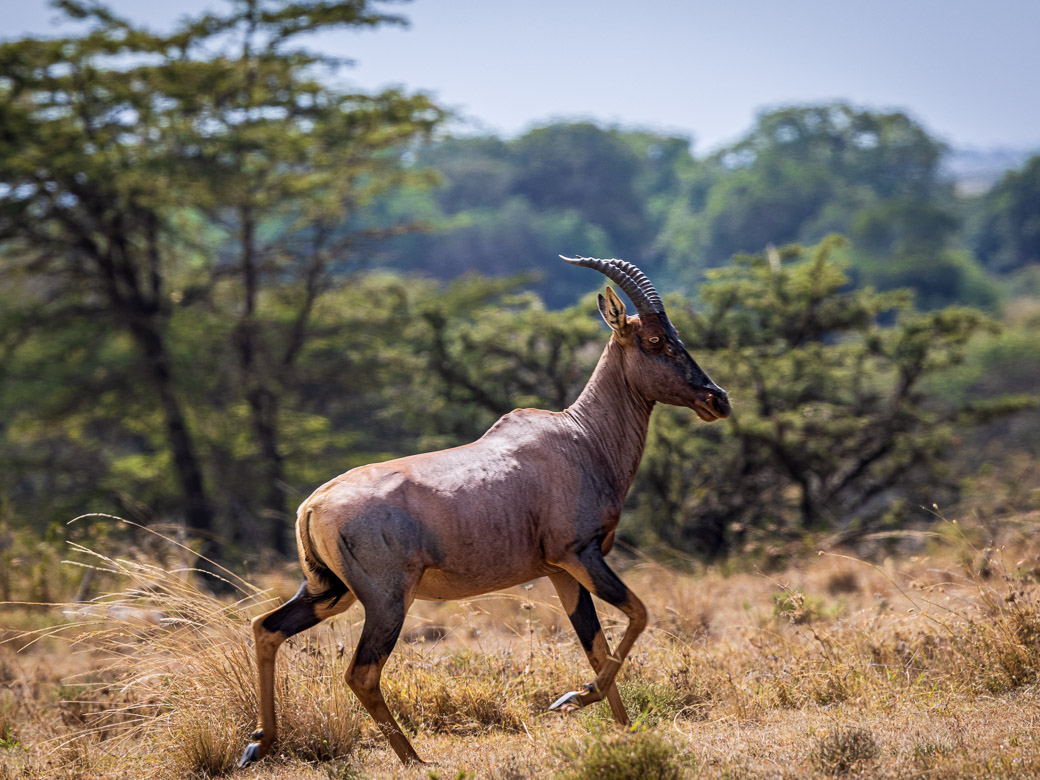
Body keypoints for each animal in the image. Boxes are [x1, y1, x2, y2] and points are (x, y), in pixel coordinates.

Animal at [241, 256, 732, 769]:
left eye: (676, 334)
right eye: (654, 340)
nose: (717, 399)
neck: (579, 438)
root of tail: (312, 505)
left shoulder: (561, 570)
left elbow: (596, 647)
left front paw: (621, 729)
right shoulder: (580, 555)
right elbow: (638, 613)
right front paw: (572, 700)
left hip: (328, 591)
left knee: (266, 628)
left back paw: (258, 743)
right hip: (386, 600)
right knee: (361, 673)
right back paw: (414, 760)